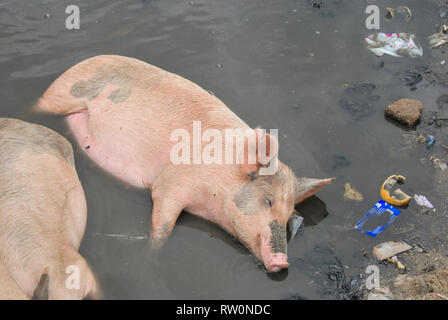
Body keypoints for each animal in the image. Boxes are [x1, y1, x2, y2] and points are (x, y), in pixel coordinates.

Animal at [37, 55, 332, 272]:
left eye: (290, 212)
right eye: (268, 201)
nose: (283, 263)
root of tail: (85, 60)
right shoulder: (171, 183)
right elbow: (163, 225)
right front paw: (150, 255)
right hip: (58, 96)